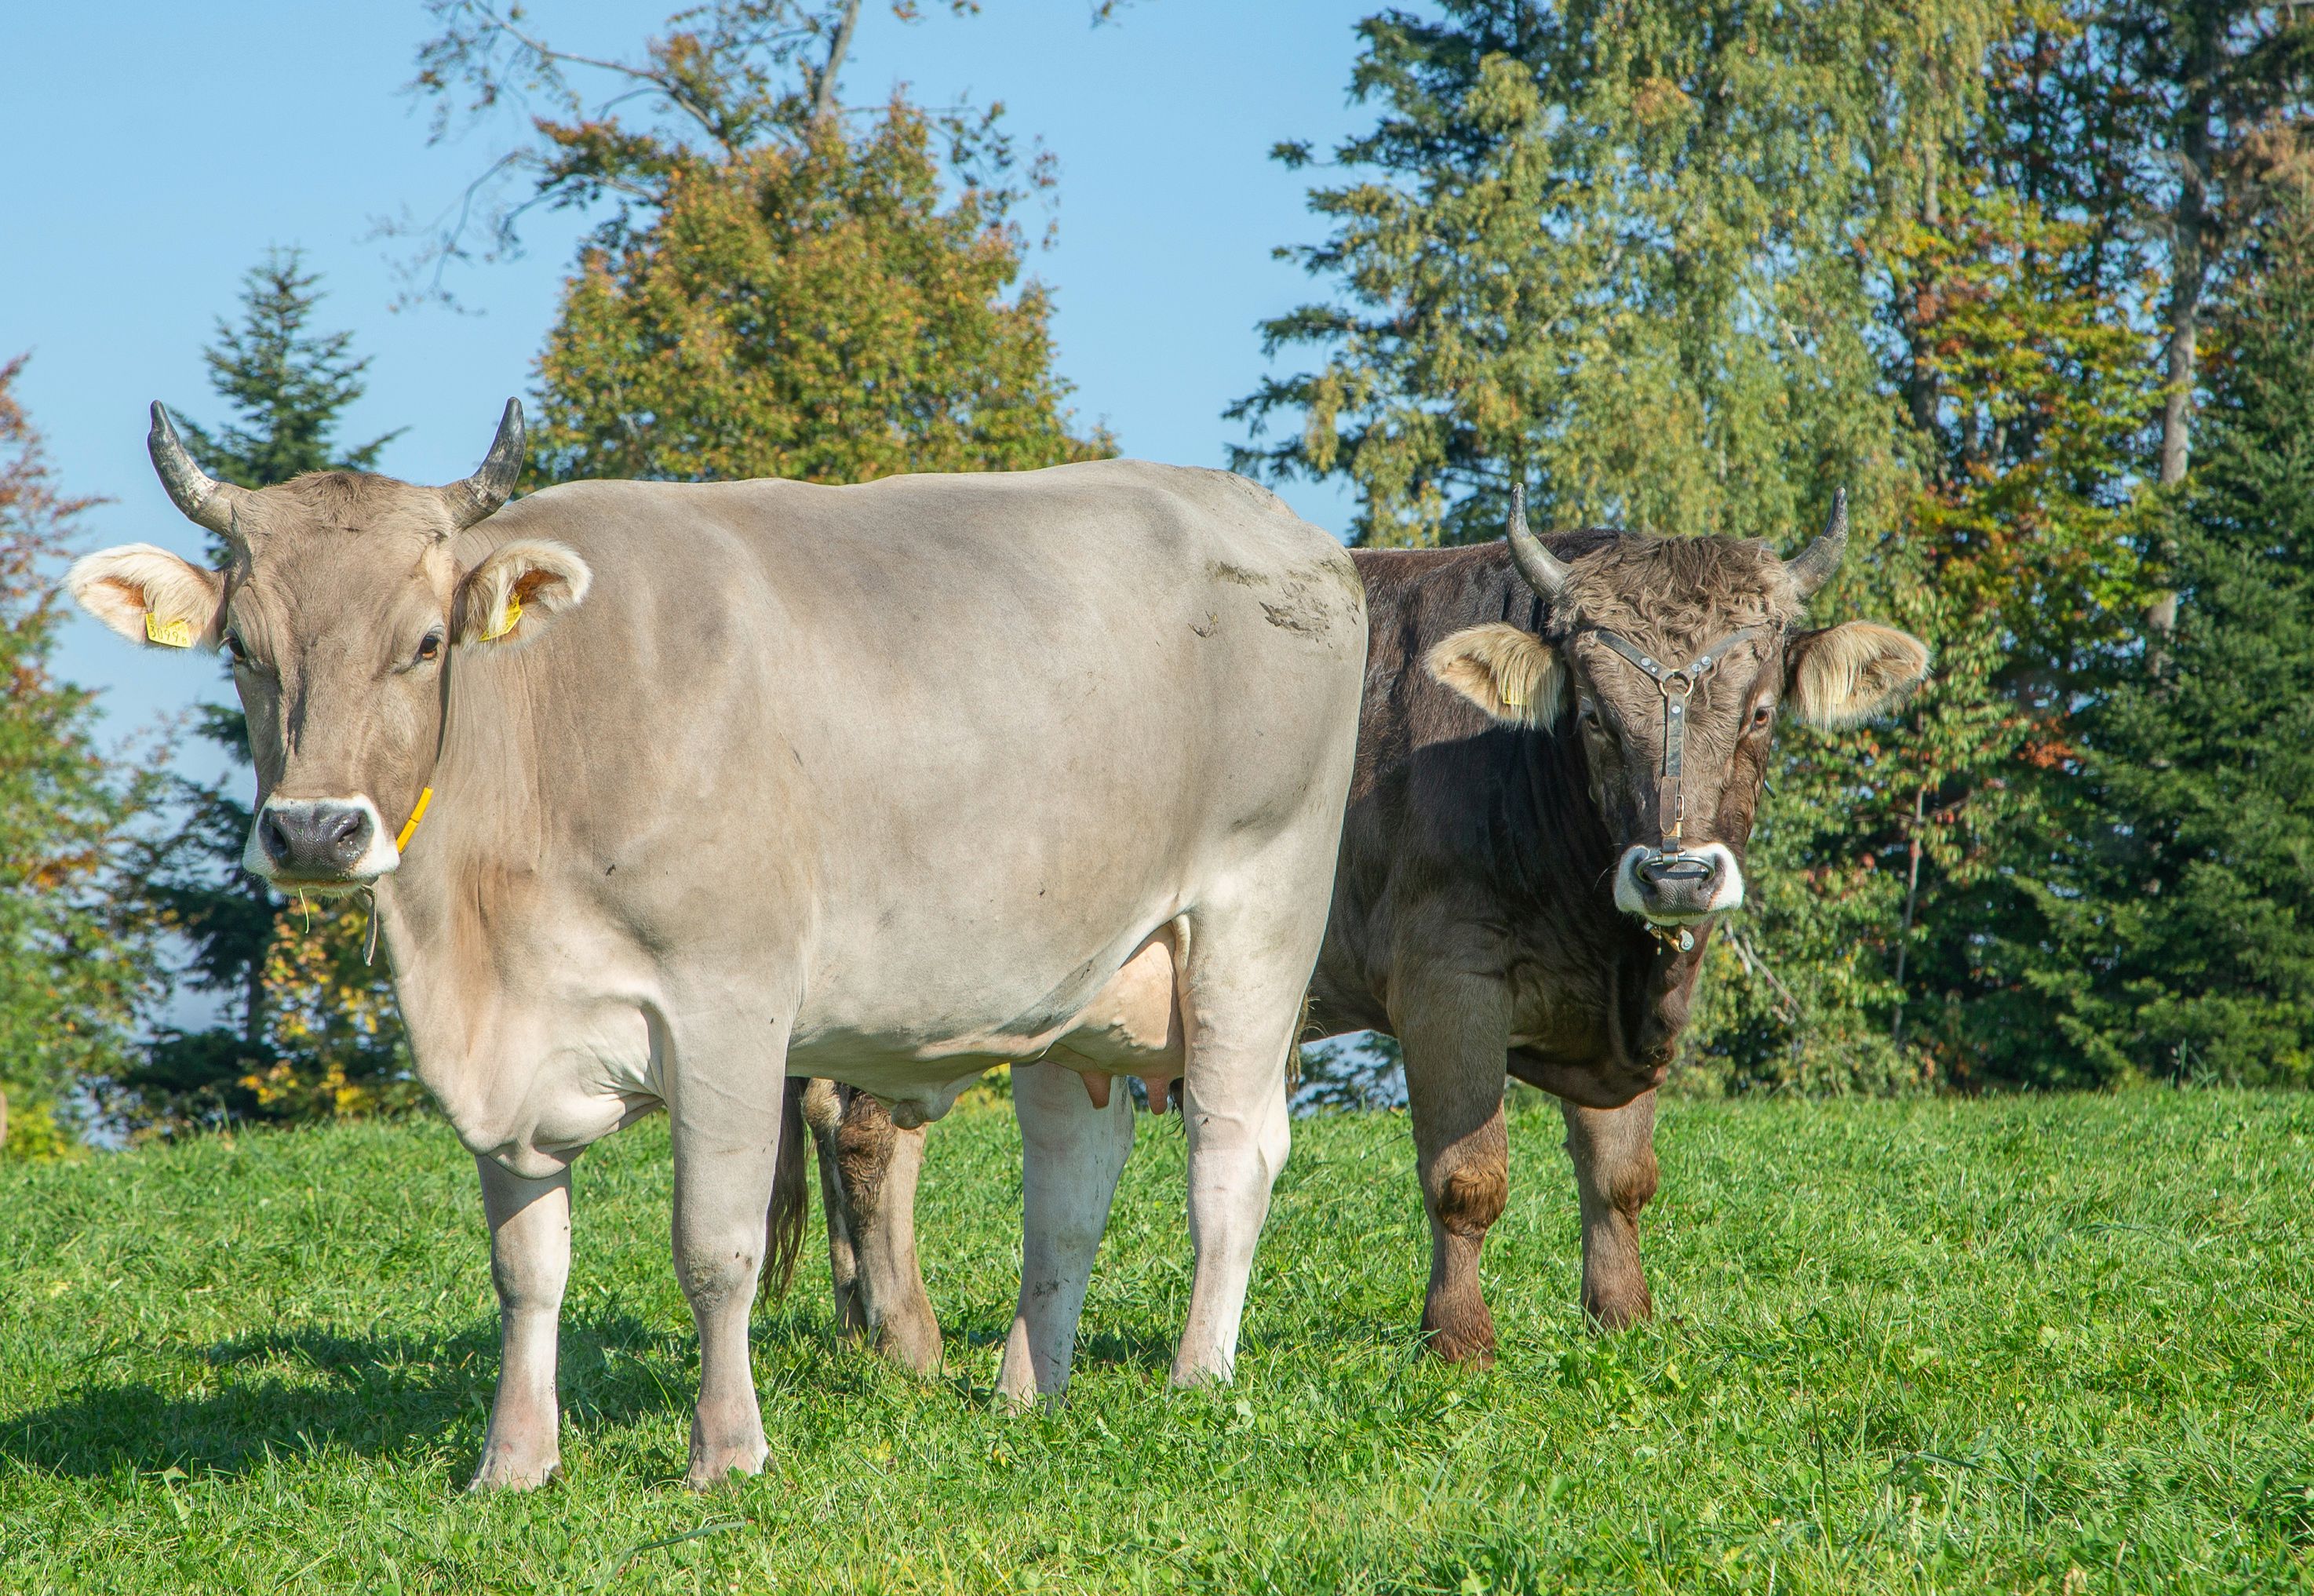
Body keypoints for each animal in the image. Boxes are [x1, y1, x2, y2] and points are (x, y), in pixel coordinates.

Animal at [67, 400, 1367, 1488]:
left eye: (427, 641)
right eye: (242, 647)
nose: (315, 829)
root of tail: (1268, 518)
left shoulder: (730, 1003)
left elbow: (715, 1246)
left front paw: (726, 1452)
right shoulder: (511, 1047)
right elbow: (526, 1266)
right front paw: (513, 1463)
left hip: (1257, 904)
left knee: (1231, 1150)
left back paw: (1197, 1375)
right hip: (1080, 972)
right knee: (1068, 1179)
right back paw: (1024, 1392)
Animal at [797, 486, 1928, 1367]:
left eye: (1760, 714)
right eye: (1594, 717)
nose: (1677, 871)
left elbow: (1620, 1173)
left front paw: (1623, 1319)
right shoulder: (1446, 982)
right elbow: (1467, 1174)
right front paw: (1459, 1340)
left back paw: (864, 1331)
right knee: (867, 1128)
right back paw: (911, 1346)